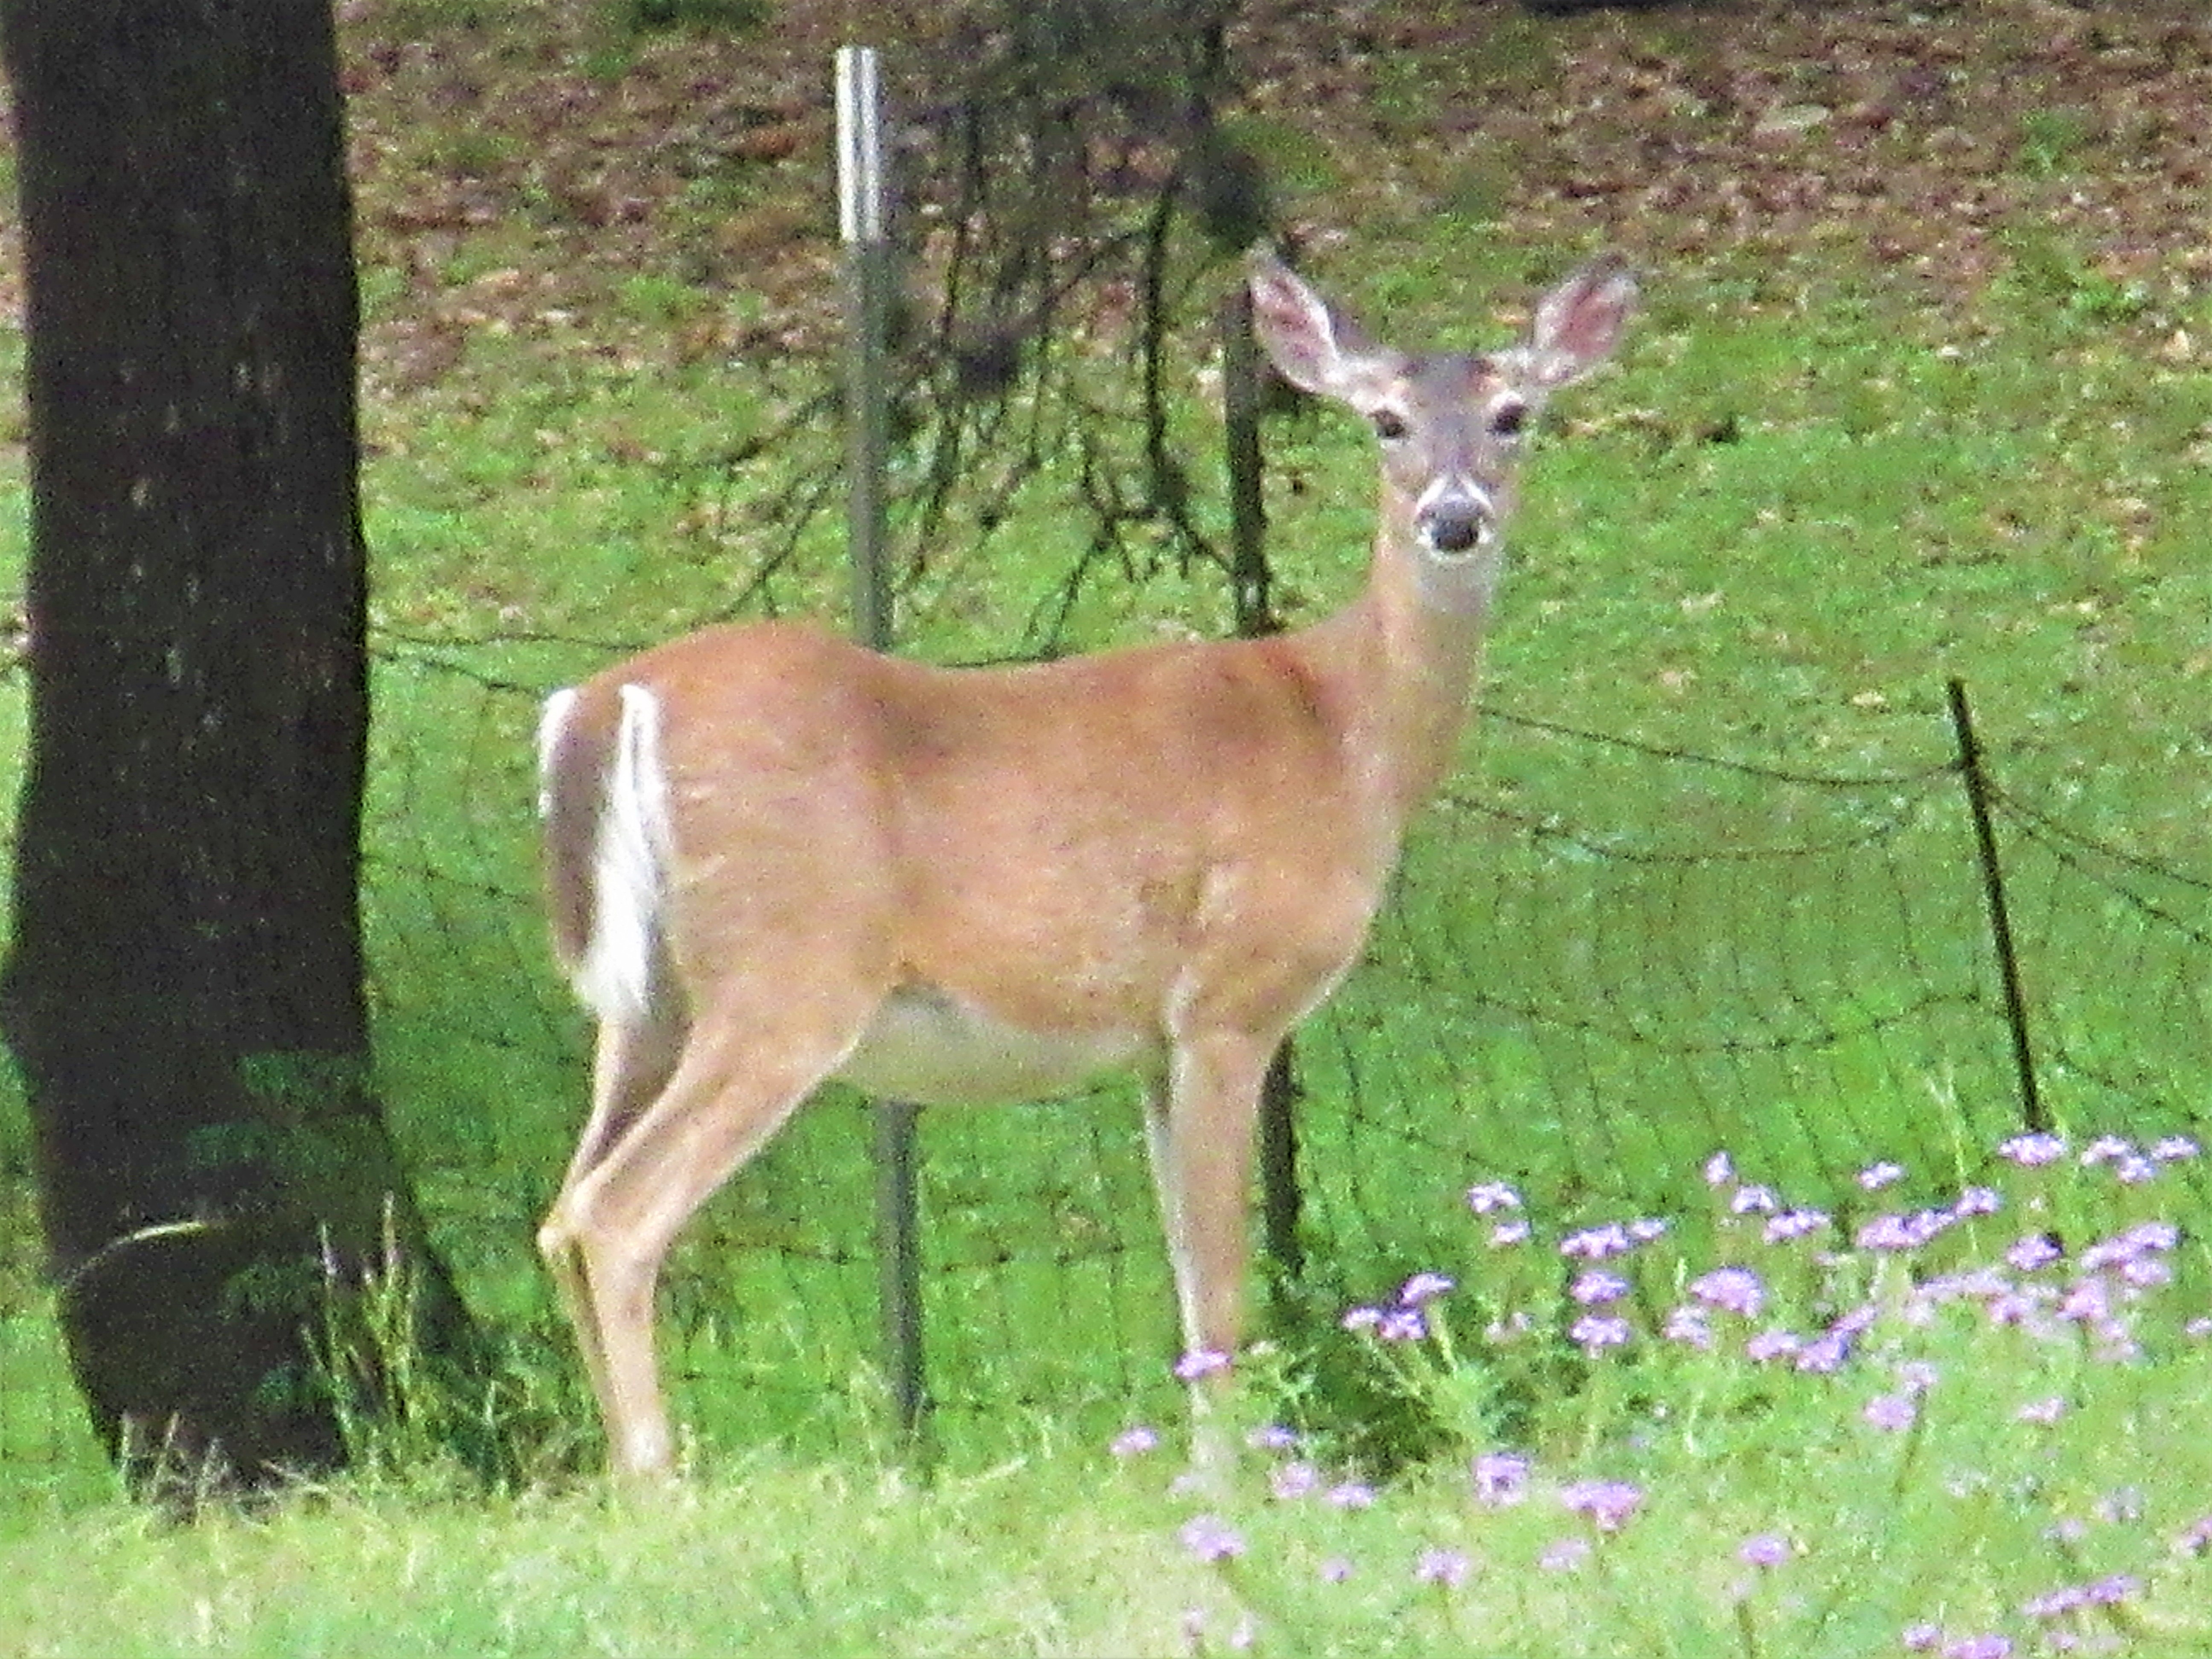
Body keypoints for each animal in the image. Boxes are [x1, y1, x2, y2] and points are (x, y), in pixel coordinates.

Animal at [534, 247, 1636, 1478]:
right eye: (1387, 421)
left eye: (1513, 415)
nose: (1454, 520)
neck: (1345, 732)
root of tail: (610, 703)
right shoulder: (1232, 1000)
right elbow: (1223, 1282)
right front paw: (1231, 1479)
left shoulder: (1154, 1041)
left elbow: (1185, 1269)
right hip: (787, 974)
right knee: (619, 1214)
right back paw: (660, 1481)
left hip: (645, 1004)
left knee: (561, 1214)